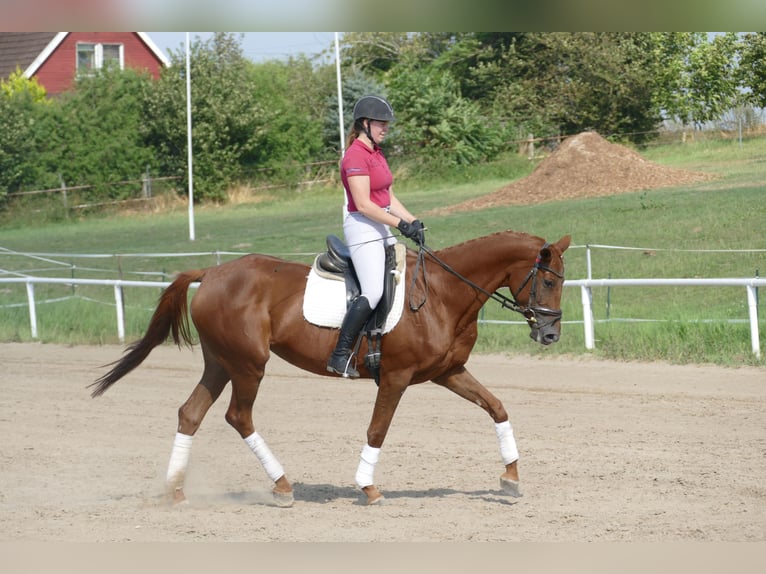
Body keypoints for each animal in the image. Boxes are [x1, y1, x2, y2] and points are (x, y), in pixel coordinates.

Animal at [91, 231, 568, 508]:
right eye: (547, 281)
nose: (550, 335)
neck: (443, 294)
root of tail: (212, 272)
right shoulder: (396, 378)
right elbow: (378, 430)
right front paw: (367, 488)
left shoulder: (448, 372)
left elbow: (497, 407)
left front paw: (510, 479)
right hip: (249, 365)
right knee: (238, 416)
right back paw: (282, 486)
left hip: (221, 363)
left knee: (191, 413)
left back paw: (175, 491)